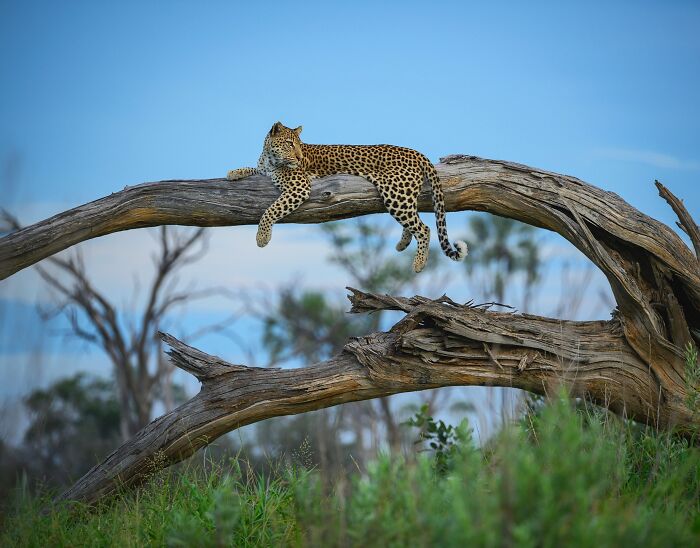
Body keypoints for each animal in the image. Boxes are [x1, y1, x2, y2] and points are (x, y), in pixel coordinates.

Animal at [227, 122, 467, 272]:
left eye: (299, 145)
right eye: (289, 143)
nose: (299, 157)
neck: (270, 158)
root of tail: (415, 151)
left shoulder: (299, 186)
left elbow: (271, 209)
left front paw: (262, 238)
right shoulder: (265, 170)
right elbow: (254, 169)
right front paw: (234, 172)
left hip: (395, 193)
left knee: (423, 228)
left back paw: (418, 264)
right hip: (402, 194)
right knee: (413, 220)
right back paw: (402, 243)